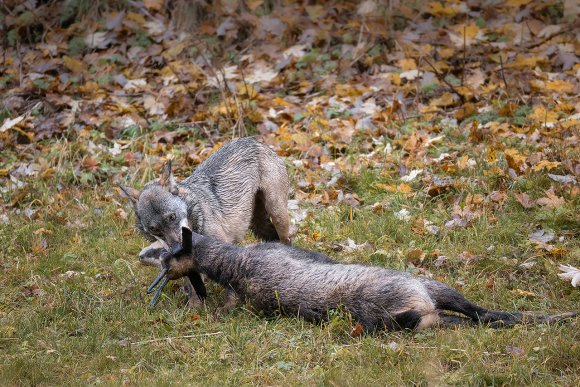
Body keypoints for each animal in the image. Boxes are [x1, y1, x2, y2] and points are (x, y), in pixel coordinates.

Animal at [119, 138, 290, 308]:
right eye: (154, 229)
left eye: (172, 217)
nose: (176, 249)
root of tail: (254, 140)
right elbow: (192, 286)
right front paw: (194, 310)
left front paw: (228, 309)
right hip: (258, 225)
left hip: (276, 213)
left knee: (286, 240)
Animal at [148, 227, 576, 334]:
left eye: (169, 257)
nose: (157, 282)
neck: (234, 264)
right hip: (422, 303)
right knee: (474, 317)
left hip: (435, 298)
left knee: (481, 315)